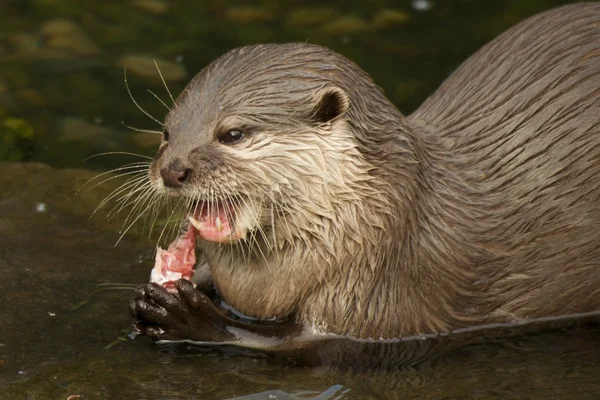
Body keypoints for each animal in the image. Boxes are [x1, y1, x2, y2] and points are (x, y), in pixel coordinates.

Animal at [129, 2, 600, 354]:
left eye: (232, 134)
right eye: (167, 132)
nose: (173, 170)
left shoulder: (382, 288)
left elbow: (294, 342)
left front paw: (190, 317)